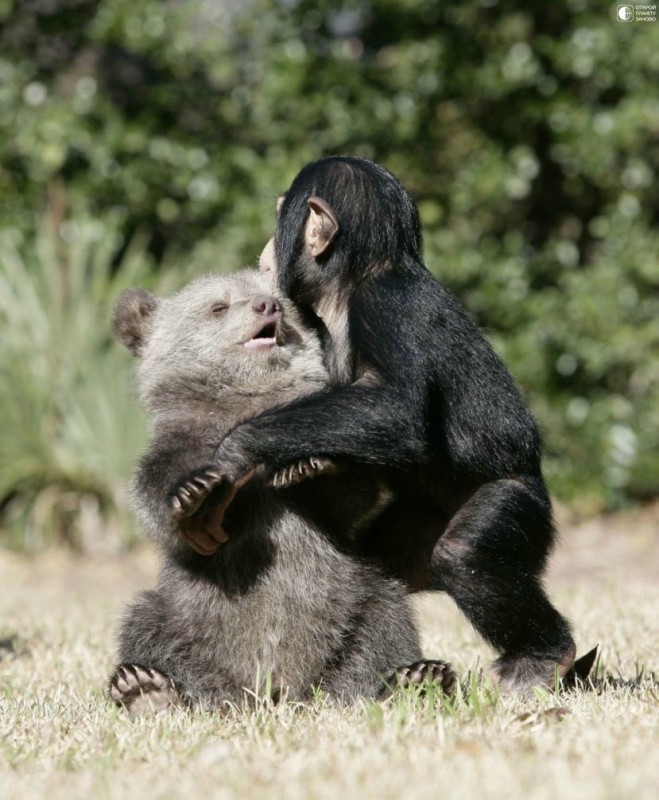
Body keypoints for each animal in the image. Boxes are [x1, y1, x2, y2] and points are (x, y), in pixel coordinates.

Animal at [200, 158, 576, 692]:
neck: (348, 286)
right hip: (417, 524)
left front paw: (237, 450)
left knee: (465, 555)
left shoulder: (384, 305)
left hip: (520, 502)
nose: (266, 246)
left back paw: (542, 657)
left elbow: (396, 408)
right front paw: (305, 465)